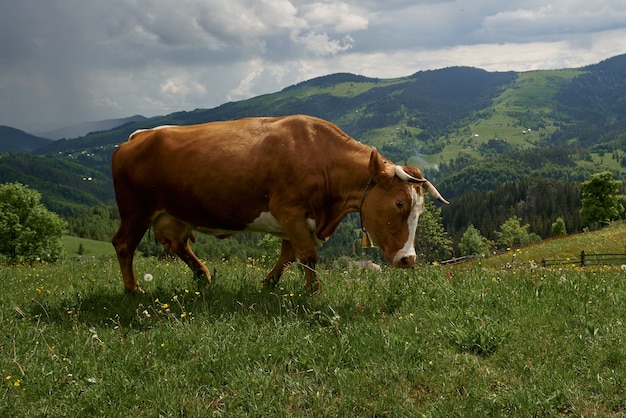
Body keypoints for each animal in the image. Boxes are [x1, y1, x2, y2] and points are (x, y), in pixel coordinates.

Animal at [109, 114, 446, 294]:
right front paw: (313, 292)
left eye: (420, 211)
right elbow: (307, 255)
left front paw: (269, 283)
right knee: (123, 244)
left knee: (179, 246)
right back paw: (133, 289)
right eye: (400, 203)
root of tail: (138, 136)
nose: (408, 259)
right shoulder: (290, 210)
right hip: (135, 210)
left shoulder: (297, 220)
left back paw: (203, 275)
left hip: (175, 214)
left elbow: (288, 255)